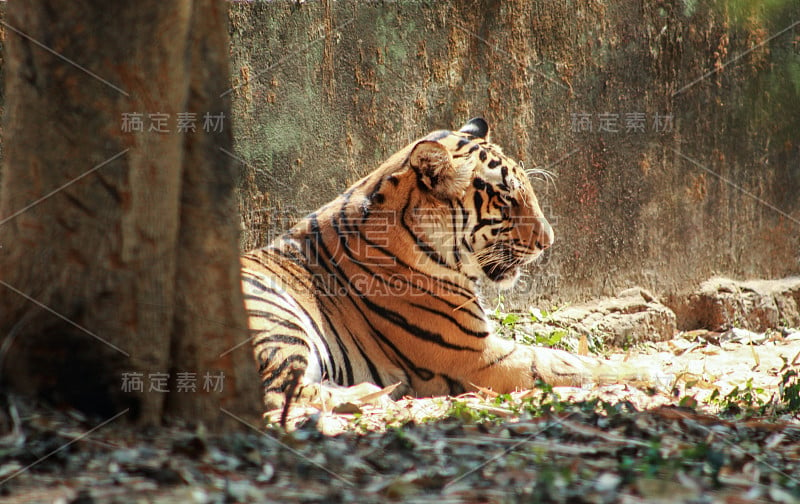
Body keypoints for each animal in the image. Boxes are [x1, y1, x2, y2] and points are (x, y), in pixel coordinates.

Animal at [241, 119, 660, 414]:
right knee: (280, 394)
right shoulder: (478, 355)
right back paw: (371, 392)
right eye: (506, 200)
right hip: (274, 315)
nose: (548, 241)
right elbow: (569, 363)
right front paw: (654, 370)